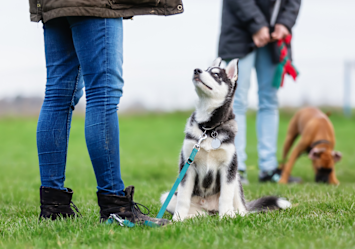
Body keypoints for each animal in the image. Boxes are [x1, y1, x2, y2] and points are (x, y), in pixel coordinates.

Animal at [161, 58, 292, 222]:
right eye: (205, 69)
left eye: (216, 74)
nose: (196, 70)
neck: (208, 129)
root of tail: (210, 209)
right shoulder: (187, 165)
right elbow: (183, 197)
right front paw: (178, 219)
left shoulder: (229, 167)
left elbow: (225, 196)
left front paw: (226, 217)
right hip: (167, 197)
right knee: (198, 212)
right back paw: (193, 217)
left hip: (236, 180)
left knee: (240, 208)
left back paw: (235, 214)